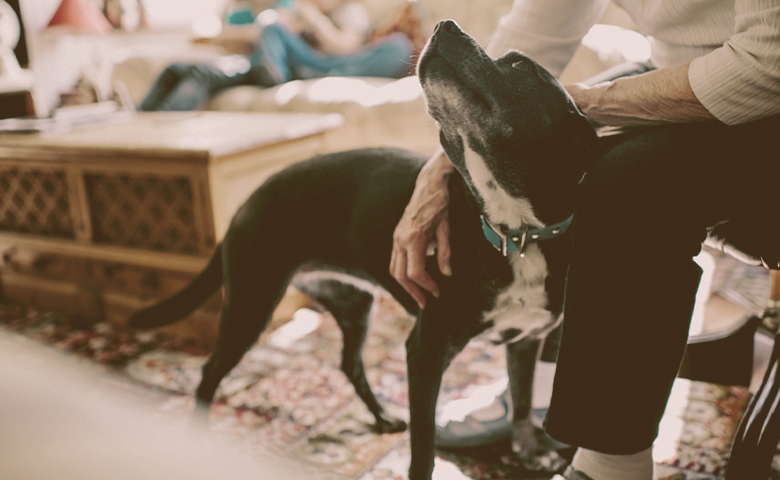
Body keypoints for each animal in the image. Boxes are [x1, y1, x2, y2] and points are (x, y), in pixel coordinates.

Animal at [131, 18, 600, 480]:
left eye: (521, 65)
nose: (445, 24)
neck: (516, 232)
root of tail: (250, 197)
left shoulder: (525, 341)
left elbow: (520, 402)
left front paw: (531, 451)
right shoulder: (426, 350)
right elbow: (423, 449)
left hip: (353, 305)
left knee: (349, 364)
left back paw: (381, 417)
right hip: (253, 303)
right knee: (210, 371)